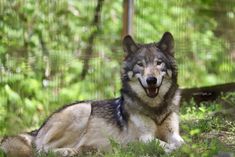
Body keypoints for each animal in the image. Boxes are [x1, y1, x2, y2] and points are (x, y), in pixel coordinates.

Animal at [0, 31, 184, 156]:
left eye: (159, 63)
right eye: (140, 64)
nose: (151, 80)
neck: (156, 109)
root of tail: (37, 130)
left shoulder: (173, 133)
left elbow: (181, 142)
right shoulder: (144, 137)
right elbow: (167, 145)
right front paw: (170, 149)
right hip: (83, 109)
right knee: (41, 150)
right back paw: (68, 151)